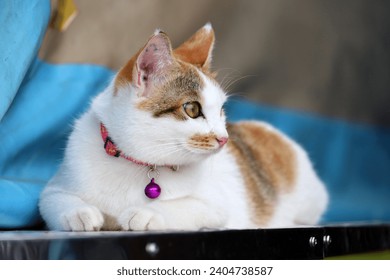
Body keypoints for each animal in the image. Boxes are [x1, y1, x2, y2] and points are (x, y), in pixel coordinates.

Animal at [39, 23, 328, 231]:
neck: (138, 164)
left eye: (221, 111)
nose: (224, 138)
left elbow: (184, 207)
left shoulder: (216, 206)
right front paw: (79, 213)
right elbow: (53, 199)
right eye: (192, 110)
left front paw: (145, 212)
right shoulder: (53, 188)